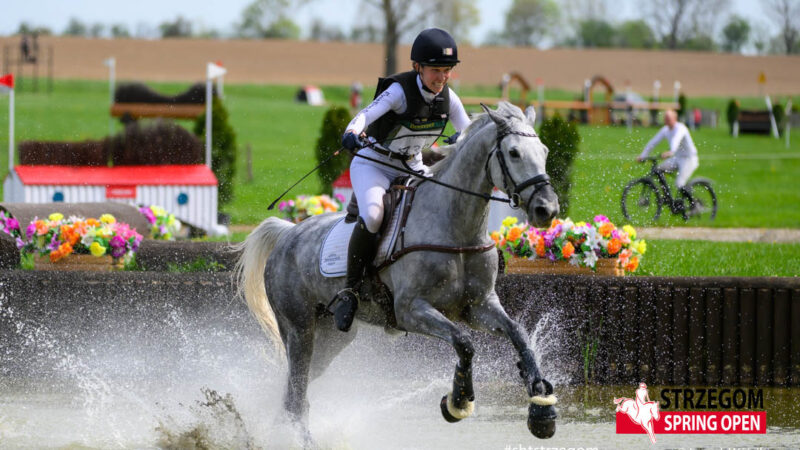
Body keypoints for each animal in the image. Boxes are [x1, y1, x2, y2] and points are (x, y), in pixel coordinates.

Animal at [236, 102, 564, 442]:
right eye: (513, 152)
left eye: (544, 150)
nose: (547, 208)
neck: (457, 228)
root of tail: (288, 233)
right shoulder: (410, 310)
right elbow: (463, 342)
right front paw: (458, 400)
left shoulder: (478, 306)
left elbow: (519, 334)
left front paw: (541, 408)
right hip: (299, 328)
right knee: (295, 392)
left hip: (331, 337)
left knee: (293, 389)